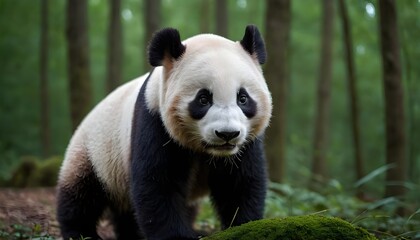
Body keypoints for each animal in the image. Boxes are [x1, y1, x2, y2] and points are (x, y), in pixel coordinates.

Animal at [55, 24, 272, 240]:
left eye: (243, 98)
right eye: (203, 99)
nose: (227, 134)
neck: (207, 150)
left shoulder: (246, 143)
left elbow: (239, 183)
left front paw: (244, 225)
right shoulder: (154, 120)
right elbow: (158, 182)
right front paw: (176, 236)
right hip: (96, 153)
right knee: (81, 194)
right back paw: (81, 232)